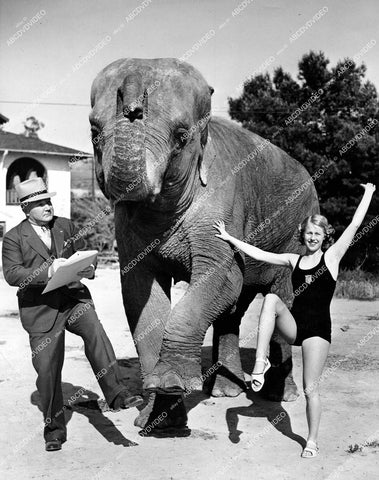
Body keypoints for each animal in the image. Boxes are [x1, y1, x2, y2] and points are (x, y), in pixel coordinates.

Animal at [90, 58, 320, 434]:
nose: (133, 105)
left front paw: (171, 383)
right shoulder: (127, 225)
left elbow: (220, 278)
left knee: (280, 298)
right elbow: (140, 292)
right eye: (94, 131)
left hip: (297, 232)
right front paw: (157, 417)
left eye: (182, 137)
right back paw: (226, 391)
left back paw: (280, 397)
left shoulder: (222, 203)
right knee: (234, 309)